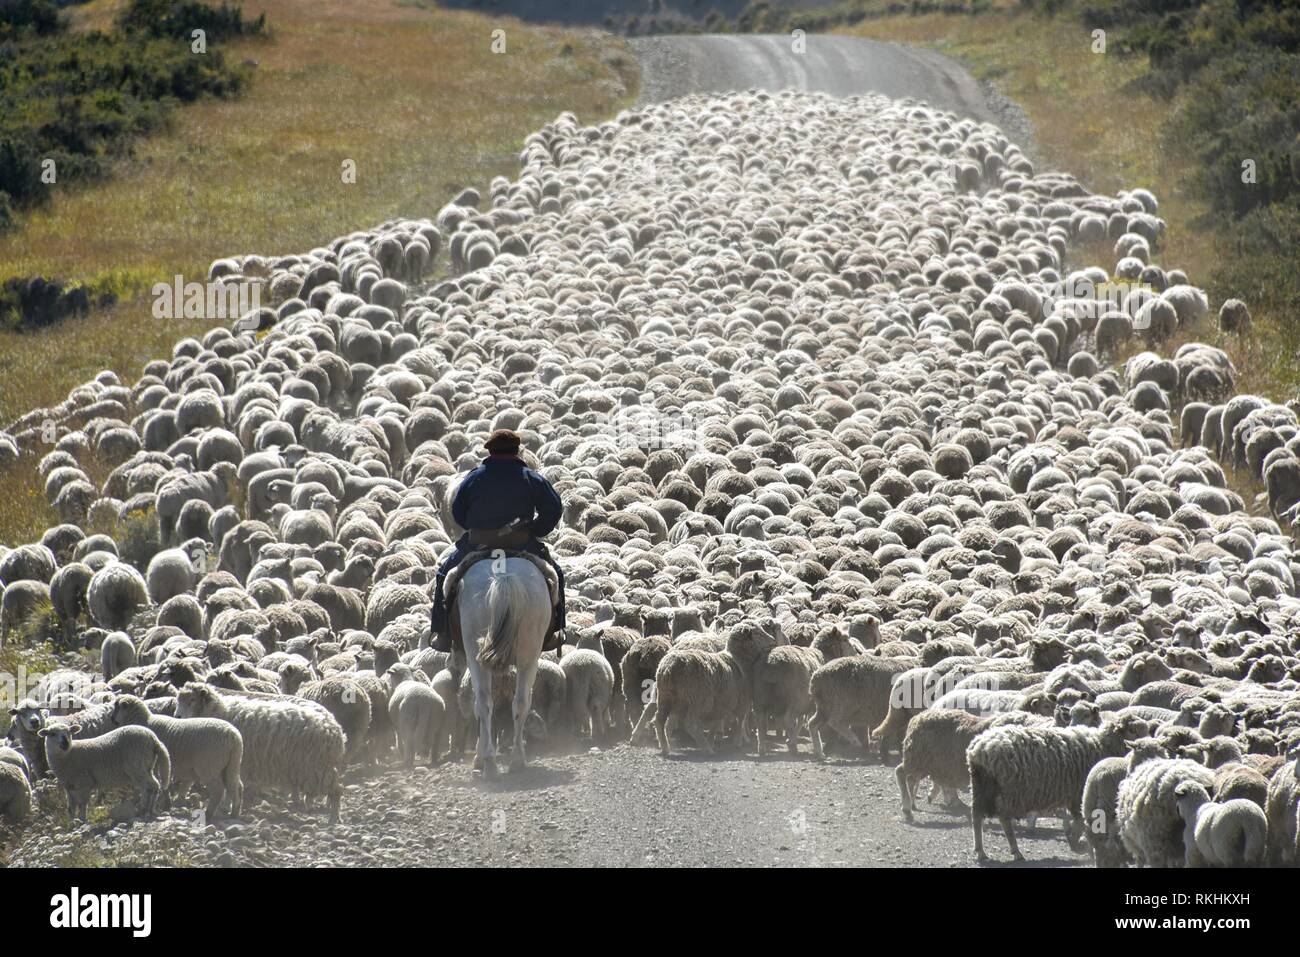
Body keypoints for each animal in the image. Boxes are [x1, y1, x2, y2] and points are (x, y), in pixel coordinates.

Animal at [40, 722, 171, 816]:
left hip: (137, 766)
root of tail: (153, 739)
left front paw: (82, 822)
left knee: (150, 787)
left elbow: (82, 806)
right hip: (146, 766)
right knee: (151, 787)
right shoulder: (69, 787)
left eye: (68, 732)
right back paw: (148, 809)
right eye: (52, 734)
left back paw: (145, 810)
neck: (68, 756)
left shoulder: (84, 783)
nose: (65, 743)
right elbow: (70, 809)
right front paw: (72, 825)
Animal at [111, 691, 244, 816]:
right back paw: (234, 812)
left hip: (209, 766)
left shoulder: (155, 763)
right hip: (231, 764)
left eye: (117, 706)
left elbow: (159, 783)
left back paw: (209, 813)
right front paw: (167, 804)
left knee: (218, 790)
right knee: (236, 786)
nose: (112, 719)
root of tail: (234, 737)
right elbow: (164, 783)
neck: (145, 721)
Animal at [175, 681, 345, 821]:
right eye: (178, 700)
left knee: (337, 791)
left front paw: (225, 806)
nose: (177, 716)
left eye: (192, 700)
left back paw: (334, 818)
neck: (219, 712)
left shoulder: (235, 763)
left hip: (317, 767)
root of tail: (335, 729)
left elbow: (231, 786)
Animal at [457, 556, 548, 774]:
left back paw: (490, 762)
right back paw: (516, 760)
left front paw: (479, 756)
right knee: (520, 702)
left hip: (475, 653)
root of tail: (504, 578)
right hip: (529, 654)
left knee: (483, 703)